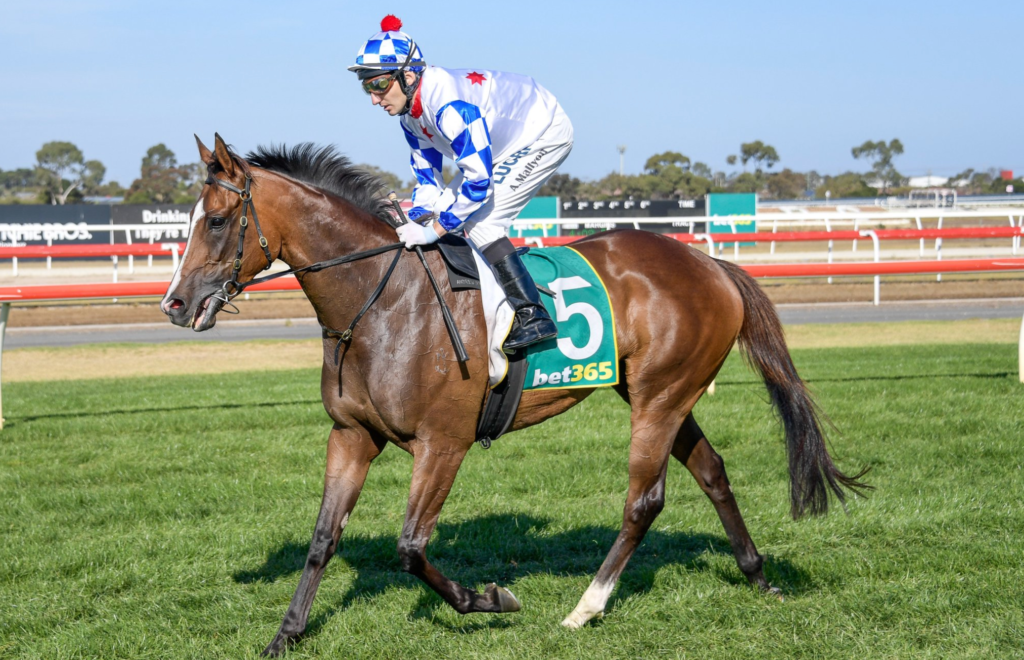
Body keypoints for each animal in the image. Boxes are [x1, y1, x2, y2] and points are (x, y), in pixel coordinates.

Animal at [161, 134, 868, 656]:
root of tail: (709, 264)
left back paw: (586, 607)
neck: (382, 301)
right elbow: (321, 539)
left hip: (660, 397)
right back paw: (758, 576)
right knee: (713, 472)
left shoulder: (443, 443)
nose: (175, 305)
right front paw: (285, 635)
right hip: (664, 391)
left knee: (644, 500)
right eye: (188, 222)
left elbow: (411, 548)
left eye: (218, 221)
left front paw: (489, 599)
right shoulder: (352, 436)